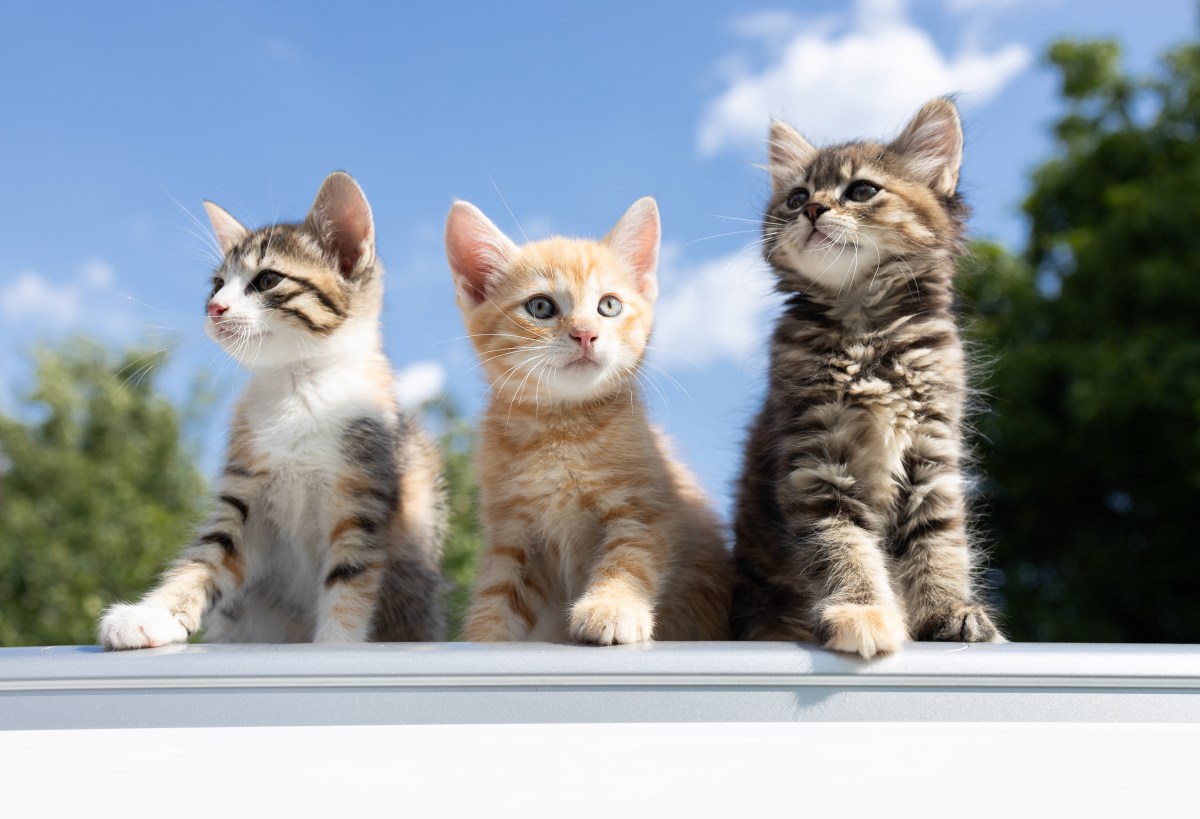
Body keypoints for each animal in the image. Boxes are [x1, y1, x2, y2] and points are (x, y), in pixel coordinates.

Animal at [97, 170, 446, 643]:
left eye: (266, 281)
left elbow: (350, 578)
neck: (296, 386)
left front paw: (335, 644)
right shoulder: (244, 495)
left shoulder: (363, 494)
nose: (214, 307)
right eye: (216, 285)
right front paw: (152, 614)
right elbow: (207, 556)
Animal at [446, 194, 729, 638]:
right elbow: (497, 594)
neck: (561, 428)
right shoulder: (512, 532)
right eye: (540, 306)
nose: (585, 334)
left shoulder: (643, 508)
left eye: (608, 306)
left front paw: (612, 606)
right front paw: (484, 637)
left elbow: (628, 559)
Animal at [729, 97, 1003, 658]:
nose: (813, 210)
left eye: (861, 191)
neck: (865, 332)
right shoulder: (817, 462)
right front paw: (862, 611)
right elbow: (842, 545)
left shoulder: (932, 455)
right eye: (796, 197)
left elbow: (940, 543)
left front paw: (949, 610)